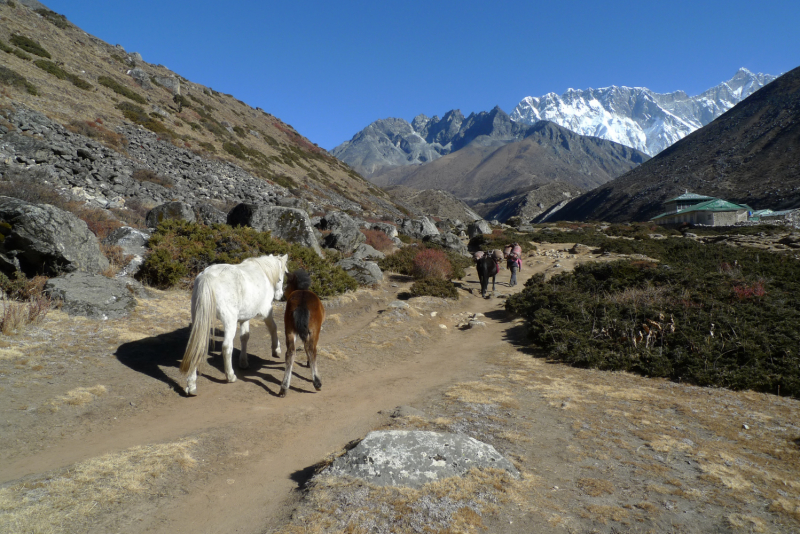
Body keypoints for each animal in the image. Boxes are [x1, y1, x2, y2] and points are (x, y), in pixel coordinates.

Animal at [180, 255, 290, 398]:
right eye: (284, 273)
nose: (280, 295)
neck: (263, 271)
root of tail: (207, 276)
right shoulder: (266, 311)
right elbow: (273, 328)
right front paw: (276, 350)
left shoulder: (245, 317)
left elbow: (245, 337)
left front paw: (243, 362)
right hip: (229, 321)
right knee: (227, 347)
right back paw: (230, 376)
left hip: (200, 320)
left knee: (197, 346)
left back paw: (191, 386)